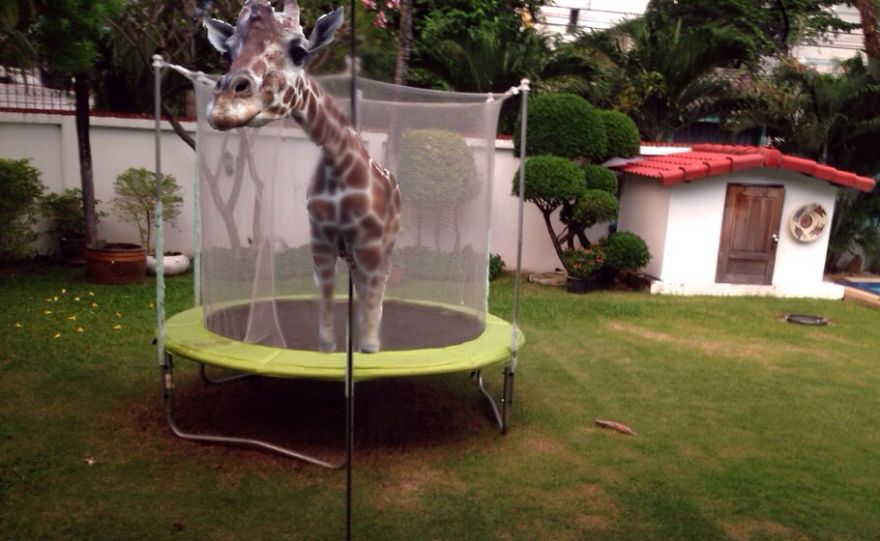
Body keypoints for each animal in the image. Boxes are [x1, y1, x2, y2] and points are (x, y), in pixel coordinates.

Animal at [203, 0, 401, 353]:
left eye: (299, 51)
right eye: (228, 52)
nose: (224, 107)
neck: (339, 163)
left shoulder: (371, 244)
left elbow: (369, 336)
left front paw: (369, 349)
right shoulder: (321, 242)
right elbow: (326, 339)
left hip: (385, 248)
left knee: (375, 297)